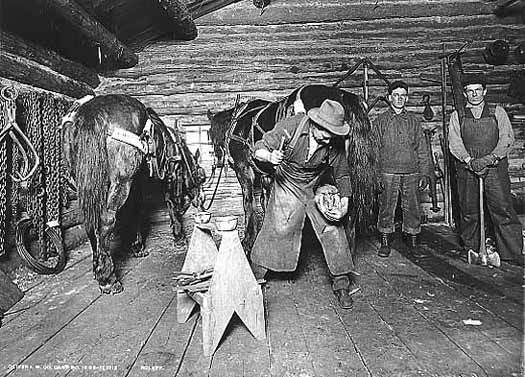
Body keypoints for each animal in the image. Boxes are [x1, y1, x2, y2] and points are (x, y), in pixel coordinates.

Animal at [62, 94, 206, 294]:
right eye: (200, 175)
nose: (202, 199)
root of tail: (91, 112)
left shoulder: (136, 184)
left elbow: (133, 211)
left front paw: (136, 244)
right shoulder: (167, 178)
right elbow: (165, 204)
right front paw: (177, 237)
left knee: (90, 223)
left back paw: (98, 267)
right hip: (122, 181)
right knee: (106, 220)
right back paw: (108, 278)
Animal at [207, 84, 378, 253]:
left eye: (210, 136)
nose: (218, 161)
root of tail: (342, 97)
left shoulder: (243, 169)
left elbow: (249, 202)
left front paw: (249, 241)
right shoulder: (267, 176)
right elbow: (266, 202)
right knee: (350, 211)